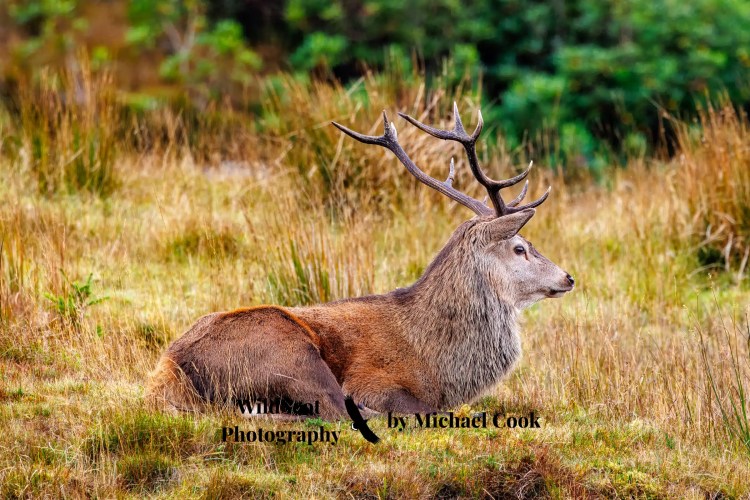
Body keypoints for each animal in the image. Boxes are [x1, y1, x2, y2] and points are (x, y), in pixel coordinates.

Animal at [146, 103, 575, 420]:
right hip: (292, 352)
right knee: (335, 411)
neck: (439, 364)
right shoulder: (373, 380)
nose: (568, 277)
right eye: (519, 247)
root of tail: (172, 368)